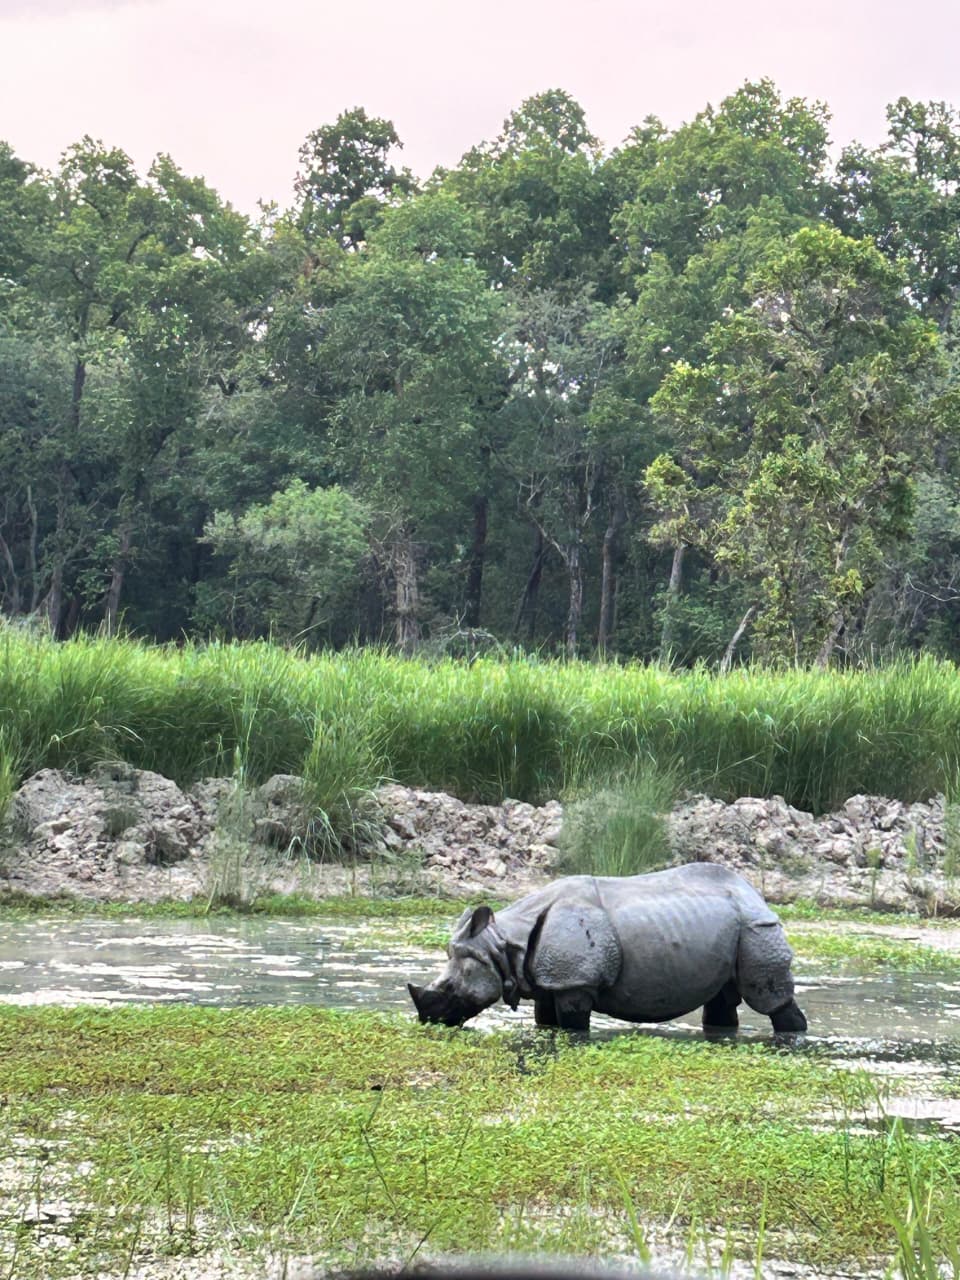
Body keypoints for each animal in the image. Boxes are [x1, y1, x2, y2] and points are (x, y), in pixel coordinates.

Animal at [408, 863, 807, 1034]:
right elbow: (545, 1021)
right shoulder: (549, 980)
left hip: (757, 928)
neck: (503, 943)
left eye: (449, 988)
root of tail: (752, 892)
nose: (427, 1019)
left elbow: (572, 1025)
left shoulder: (575, 982)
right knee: (722, 998)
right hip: (731, 926)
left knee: (769, 998)